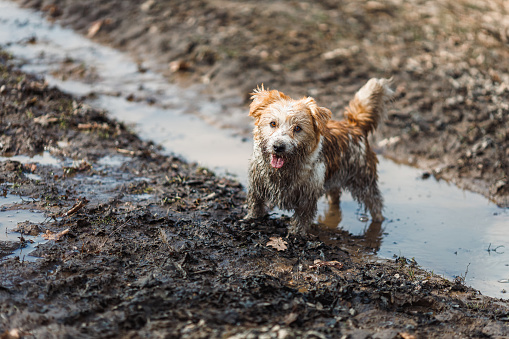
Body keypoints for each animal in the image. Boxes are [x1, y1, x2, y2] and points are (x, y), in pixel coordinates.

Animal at [245, 78, 392, 236]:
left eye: (297, 128)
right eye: (273, 123)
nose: (278, 147)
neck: (283, 172)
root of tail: (354, 126)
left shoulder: (307, 197)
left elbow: (302, 218)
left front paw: (297, 234)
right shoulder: (256, 186)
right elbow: (255, 205)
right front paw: (252, 219)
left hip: (363, 179)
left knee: (375, 203)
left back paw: (378, 222)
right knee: (335, 195)